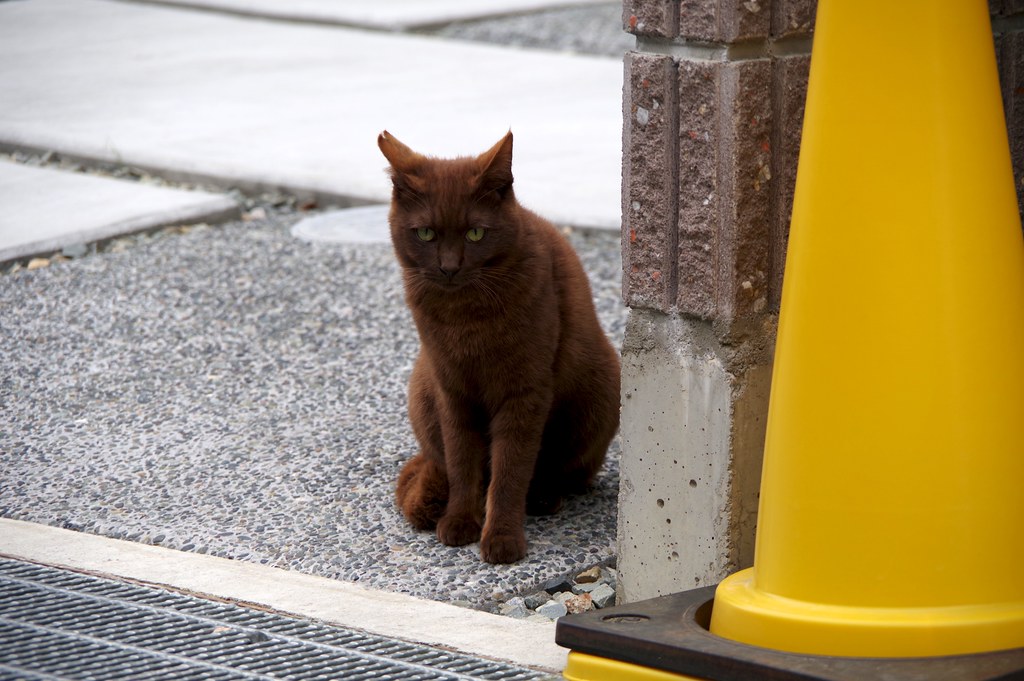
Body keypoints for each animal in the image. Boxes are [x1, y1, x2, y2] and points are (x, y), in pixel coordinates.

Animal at [377, 130, 620, 564]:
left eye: (475, 233)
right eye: (426, 234)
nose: (449, 267)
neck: (464, 321)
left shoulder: (523, 393)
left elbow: (510, 470)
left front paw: (502, 539)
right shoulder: (453, 391)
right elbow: (462, 462)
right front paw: (460, 522)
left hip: (600, 393)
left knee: (560, 471)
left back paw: (542, 497)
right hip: (421, 390)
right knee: (444, 462)